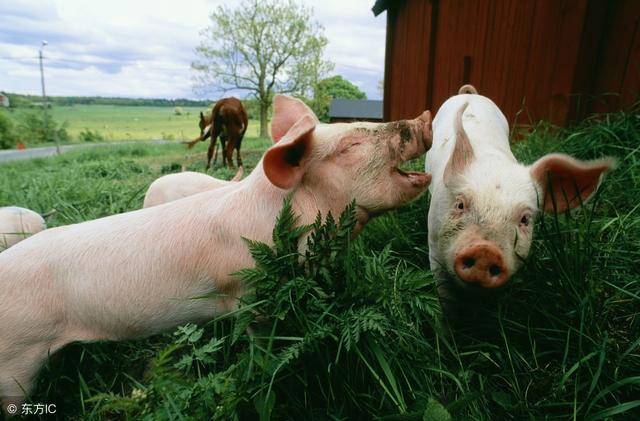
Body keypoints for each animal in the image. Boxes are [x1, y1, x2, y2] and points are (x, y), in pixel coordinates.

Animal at [424, 85, 616, 308]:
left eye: (525, 219)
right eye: (460, 205)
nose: (485, 250)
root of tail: (470, 94)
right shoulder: (434, 245)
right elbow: (444, 294)